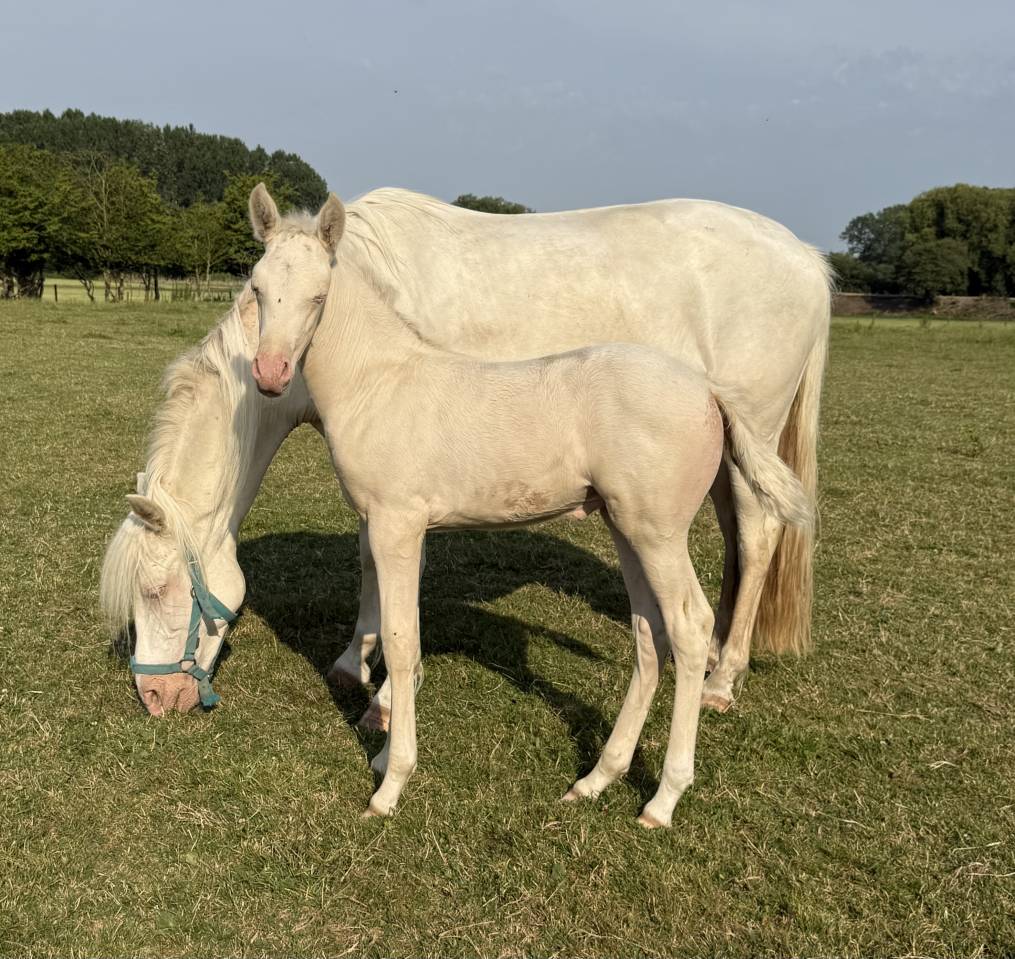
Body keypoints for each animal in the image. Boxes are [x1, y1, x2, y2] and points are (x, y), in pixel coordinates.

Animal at [245, 188, 812, 825]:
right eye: (257, 287)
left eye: (319, 295)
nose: (270, 374)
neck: (382, 380)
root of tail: (707, 391)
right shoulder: (394, 526)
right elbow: (402, 635)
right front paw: (385, 752)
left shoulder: (397, 524)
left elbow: (400, 639)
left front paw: (391, 783)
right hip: (626, 529)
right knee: (650, 635)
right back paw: (597, 778)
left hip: (659, 533)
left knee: (690, 625)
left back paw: (664, 796)